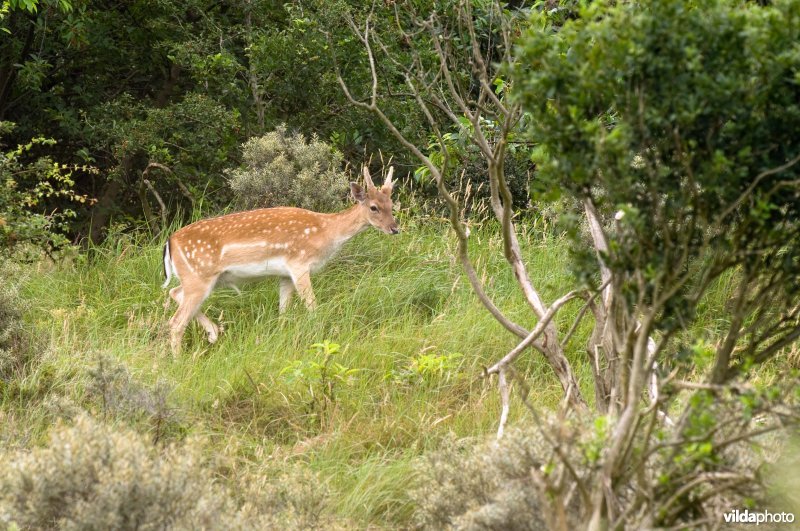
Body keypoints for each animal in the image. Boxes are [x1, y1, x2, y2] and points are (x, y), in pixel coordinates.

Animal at [163, 166, 400, 356]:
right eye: (374, 207)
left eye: (391, 204)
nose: (395, 228)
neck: (325, 232)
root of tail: (170, 242)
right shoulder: (299, 264)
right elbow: (313, 307)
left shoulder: (285, 274)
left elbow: (283, 312)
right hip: (199, 276)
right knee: (175, 322)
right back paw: (179, 360)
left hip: (201, 279)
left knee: (174, 293)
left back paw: (212, 332)